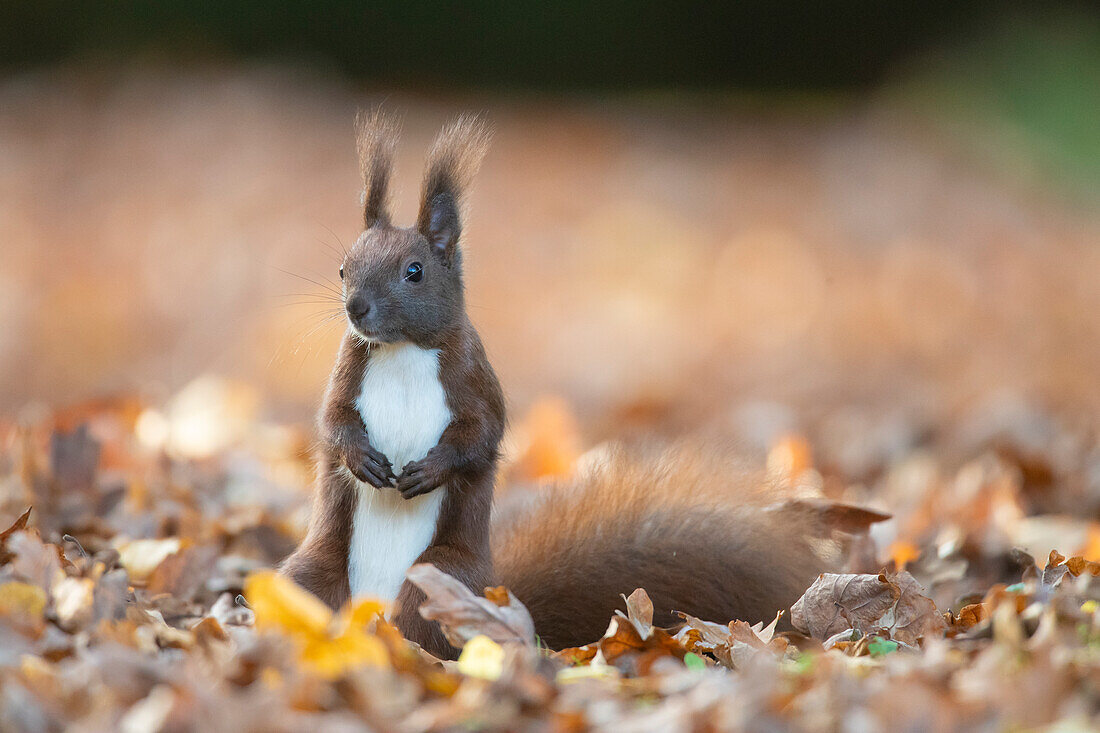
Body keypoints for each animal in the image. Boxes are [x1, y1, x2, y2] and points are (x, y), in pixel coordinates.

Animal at [283, 111, 884, 660]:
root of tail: (369, 615)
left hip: (438, 579)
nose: (356, 307)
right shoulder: (349, 371)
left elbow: (482, 434)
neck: (403, 350)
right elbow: (333, 421)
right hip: (311, 578)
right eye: (343, 268)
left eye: (415, 271)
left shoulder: (474, 378)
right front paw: (361, 459)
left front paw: (431, 469)